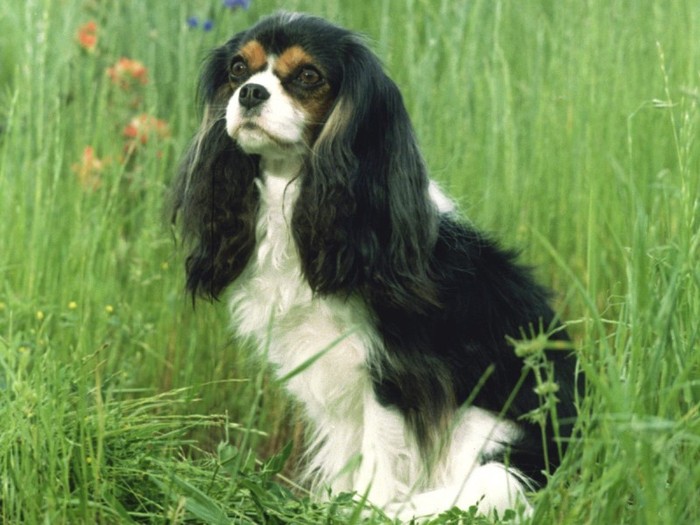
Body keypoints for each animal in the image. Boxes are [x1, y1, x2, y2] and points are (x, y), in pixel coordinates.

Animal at [170, 12, 580, 520]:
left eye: (308, 76)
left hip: (482, 429)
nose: (249, 93)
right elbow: (348, 457)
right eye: (237, 69)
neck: (296, 198)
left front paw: (368, 511)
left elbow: (380, 460)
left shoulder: (390, 375)